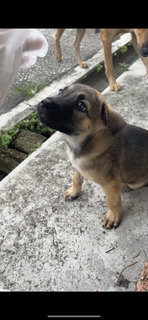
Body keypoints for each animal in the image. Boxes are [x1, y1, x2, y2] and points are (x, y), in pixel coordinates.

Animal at [37, 82, 148, 228]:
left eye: (80, 106)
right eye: (61, 91)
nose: (44, 102)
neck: (82, 144)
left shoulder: (110, 184)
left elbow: (112, 201)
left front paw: (113, 216)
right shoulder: (77, 167)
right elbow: (76, 179)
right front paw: (73, 192)